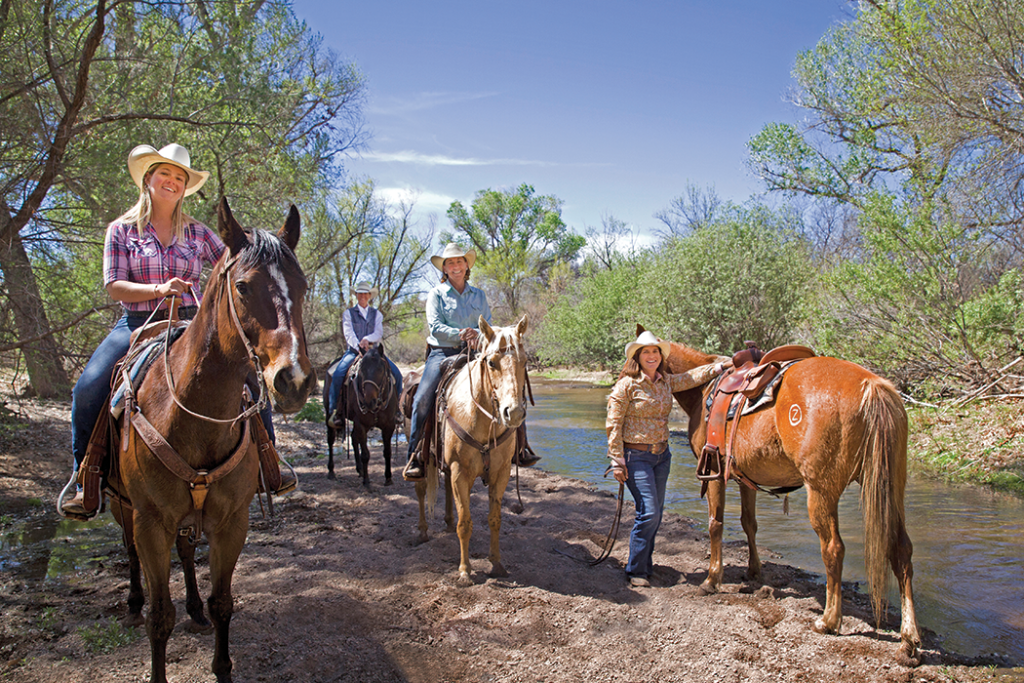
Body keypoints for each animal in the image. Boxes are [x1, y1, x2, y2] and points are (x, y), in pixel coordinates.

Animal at [105, 197, 315, 683]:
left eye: (302, 286)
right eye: (242, 286)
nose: (294, 380)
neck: (189, 413)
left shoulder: (231, 521)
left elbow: (223, 604)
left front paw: (221, 663)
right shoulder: (150, 522)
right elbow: (160, 617)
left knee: (186, 551)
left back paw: (195, 610)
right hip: (121, 505)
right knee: (130, 552)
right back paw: (133, 602)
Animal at [323, 343, 399, 486]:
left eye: (381, 369)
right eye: (362, 370)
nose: (369, 401)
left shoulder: (389, 425)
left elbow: (387, 452)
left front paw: (388, 478)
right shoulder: (362, 424)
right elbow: (365, 454)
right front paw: (367, 482)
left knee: (353, 437)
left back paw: (360, 469)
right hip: (329, 413)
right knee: (330, 439)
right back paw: (331, 471)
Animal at [416, 316, 528, 586]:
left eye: (525, 361)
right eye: (492, 362)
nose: (514, 413)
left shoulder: (501, 473)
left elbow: (494, 519)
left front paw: (496, 564)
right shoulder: (460, 473)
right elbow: (465, 523)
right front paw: (465, 571)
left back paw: (446, 522)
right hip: (423, 458)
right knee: (421, 489)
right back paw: (423, 531)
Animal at [658, 333, 921, 665]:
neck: (702, 391)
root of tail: (871, 384)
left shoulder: (714, 472)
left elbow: (715, 524)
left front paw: (712, 580)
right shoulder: (745, 478)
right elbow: (749, 524)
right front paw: (754, 571)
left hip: (821, 492)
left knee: (833, 549)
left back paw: (829, 621)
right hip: (891, 488)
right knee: (902, 551)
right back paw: (908, 641)